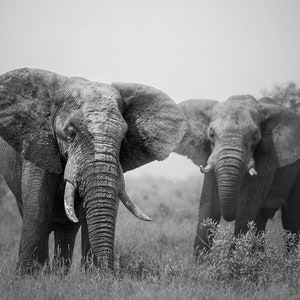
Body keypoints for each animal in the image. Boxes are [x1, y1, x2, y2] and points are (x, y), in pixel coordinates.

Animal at [0, 68, 188, 274]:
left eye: (123, 138)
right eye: (71, 133)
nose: (110, 275)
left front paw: (95, 276)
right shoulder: (38, 144)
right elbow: (37, 208)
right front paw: (28, 276)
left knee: (67, 229)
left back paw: (59, 274)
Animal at [173, 95, 300, 256]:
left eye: (255, 138)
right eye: (211, 134)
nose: (229, 216)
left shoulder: (267, 155)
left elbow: (247, 205)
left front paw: (234, 260)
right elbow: (208, 204)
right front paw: (201, 261)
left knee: (291, 218)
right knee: (261, 220)